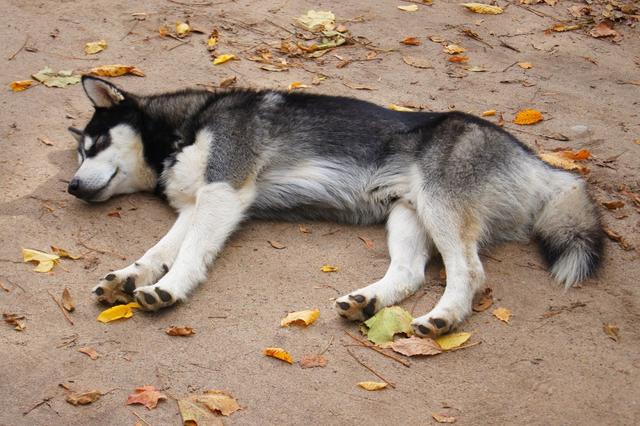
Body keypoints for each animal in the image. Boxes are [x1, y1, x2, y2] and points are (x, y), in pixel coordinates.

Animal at [67, 76, 604, 336]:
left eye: (94, 145)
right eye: (79, 152)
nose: (71, 187)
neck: (187, 126)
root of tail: (538, 162)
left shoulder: (223, 192)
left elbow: (187, 255)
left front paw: (169, 288)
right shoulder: (198, 205)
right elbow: (157, 251)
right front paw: (127, 277)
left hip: (439, 207)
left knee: (469, 273)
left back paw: (445, 318)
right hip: (407, 215)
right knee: (410, 273)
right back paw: (369, 302)